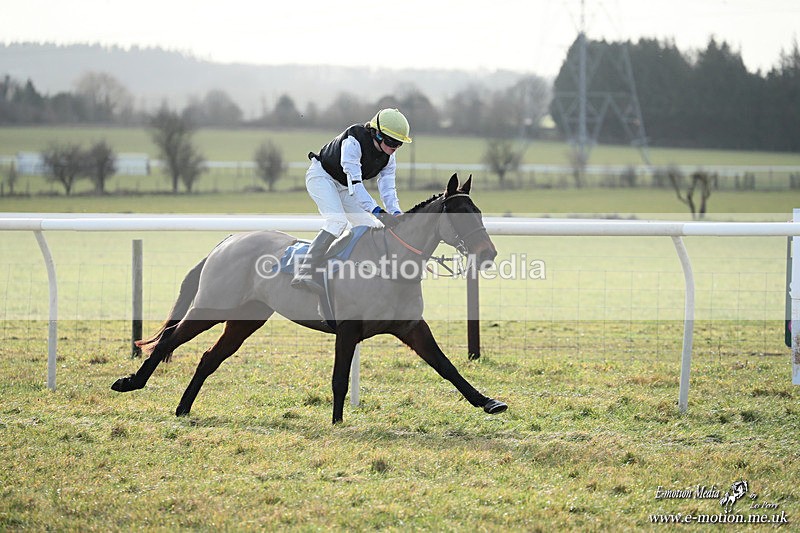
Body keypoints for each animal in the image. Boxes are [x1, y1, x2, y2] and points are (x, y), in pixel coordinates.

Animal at [111, 174, 508, 424]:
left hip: (245, 319)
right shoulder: (347, 330)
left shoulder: (410, 326)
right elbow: (339, 379)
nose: (488, 253)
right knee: (169, 338)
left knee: (209, 357)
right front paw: (337, 421)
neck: (389, 262)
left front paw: (488, 402)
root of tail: (226, 241)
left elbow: (447, 366)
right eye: (461, 214)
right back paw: (131, 382)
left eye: (479, 212)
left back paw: (183, 408)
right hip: (212, 306)